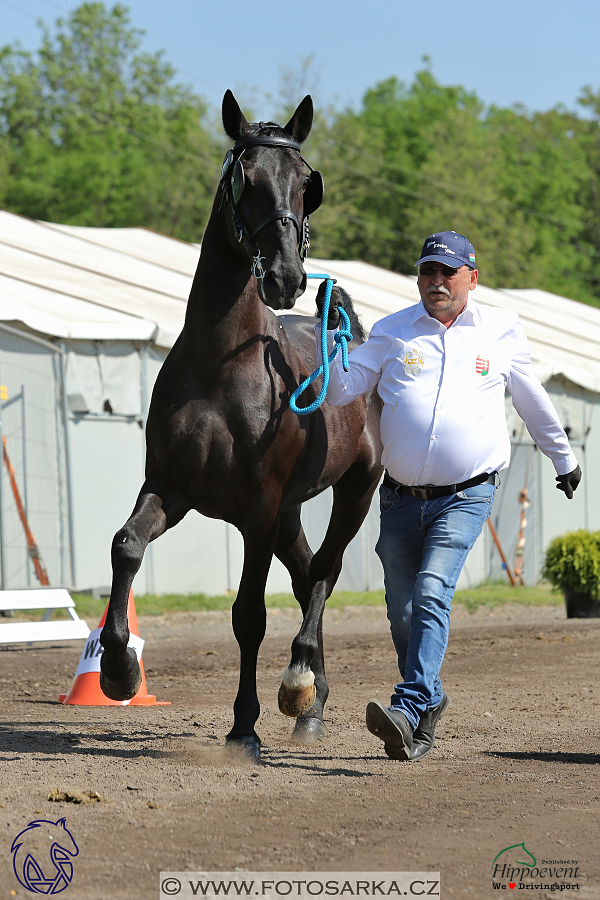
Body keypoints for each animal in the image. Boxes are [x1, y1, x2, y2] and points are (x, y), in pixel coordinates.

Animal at [98, 89, 380, 760]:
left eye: (306, 183)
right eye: (243, 178)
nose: (285, 277)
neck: (220, 365)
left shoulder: (258, 507)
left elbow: (249, 614)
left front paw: (243, 726)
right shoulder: (170, 488)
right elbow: (126, 547)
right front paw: (119, 670)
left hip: (354, 490)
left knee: (324, 574)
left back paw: (299, 682)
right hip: (290, 513)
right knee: (307, 577)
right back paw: (312, 706)